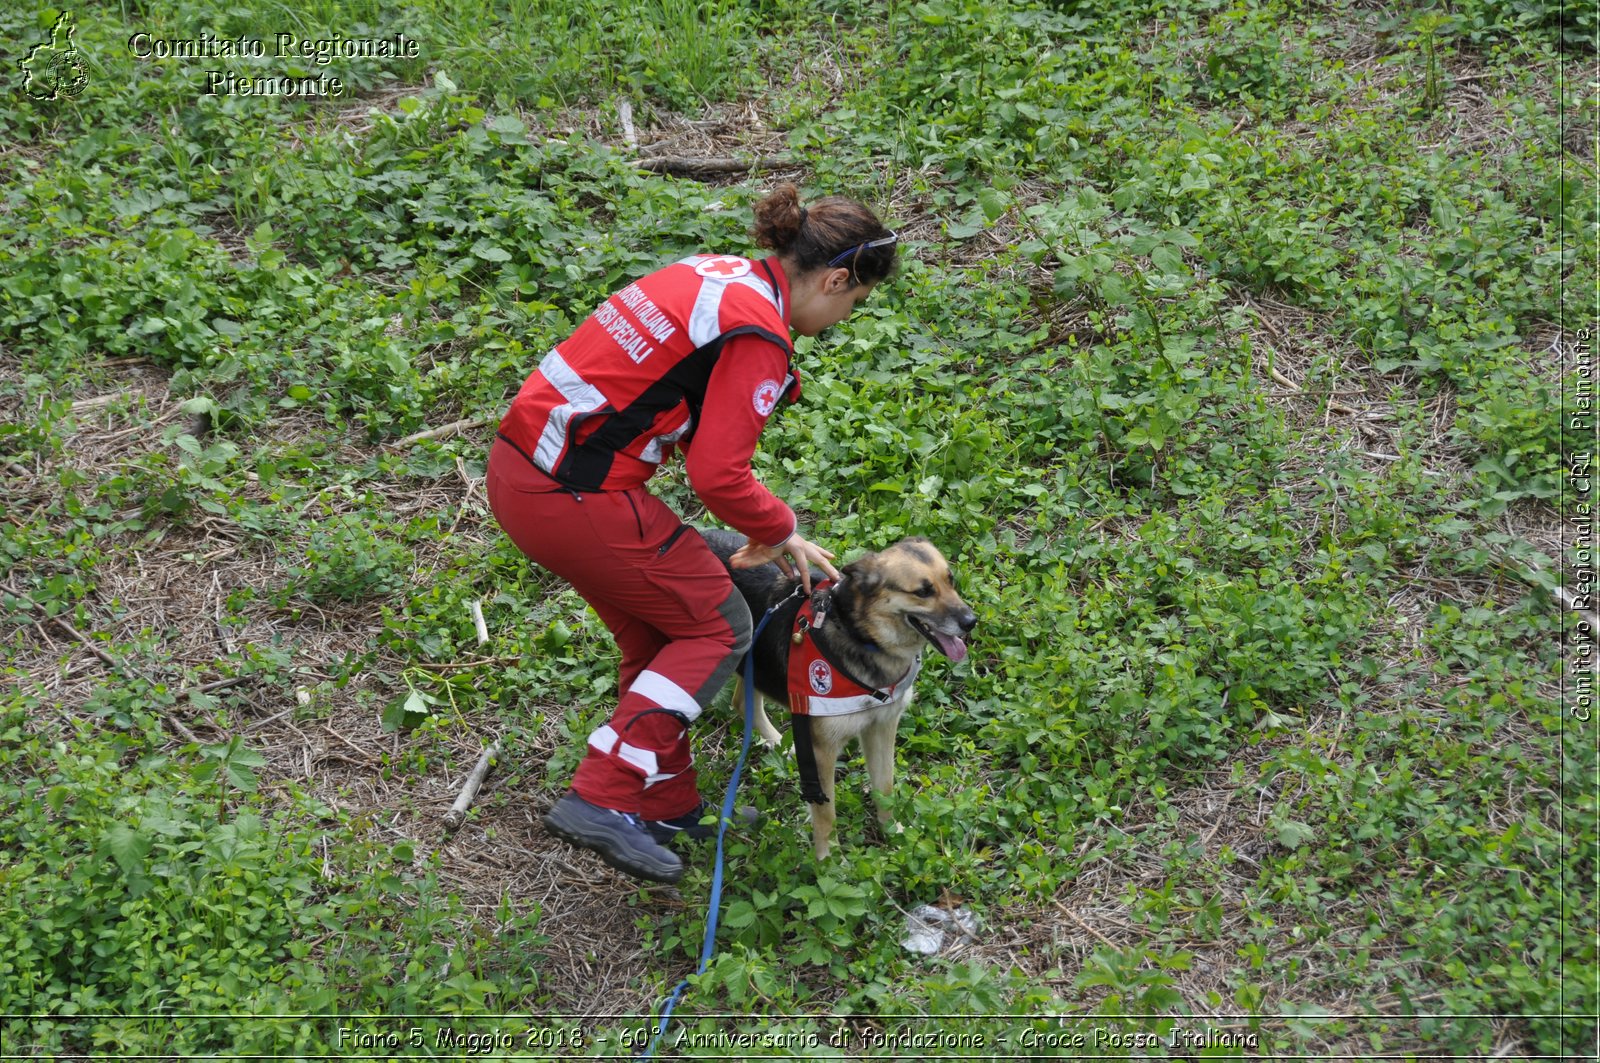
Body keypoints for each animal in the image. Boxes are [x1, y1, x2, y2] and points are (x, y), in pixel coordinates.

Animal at [710, 528, 979, 858]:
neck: (862, 636)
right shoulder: (822, 751)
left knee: (741, 701)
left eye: (950, 580)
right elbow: (826, 812)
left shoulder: (882, 727)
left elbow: (884, 787)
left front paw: (893, 833)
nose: (971, 622)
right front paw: (828, 858)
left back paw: (777, 742)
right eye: (923, 592)